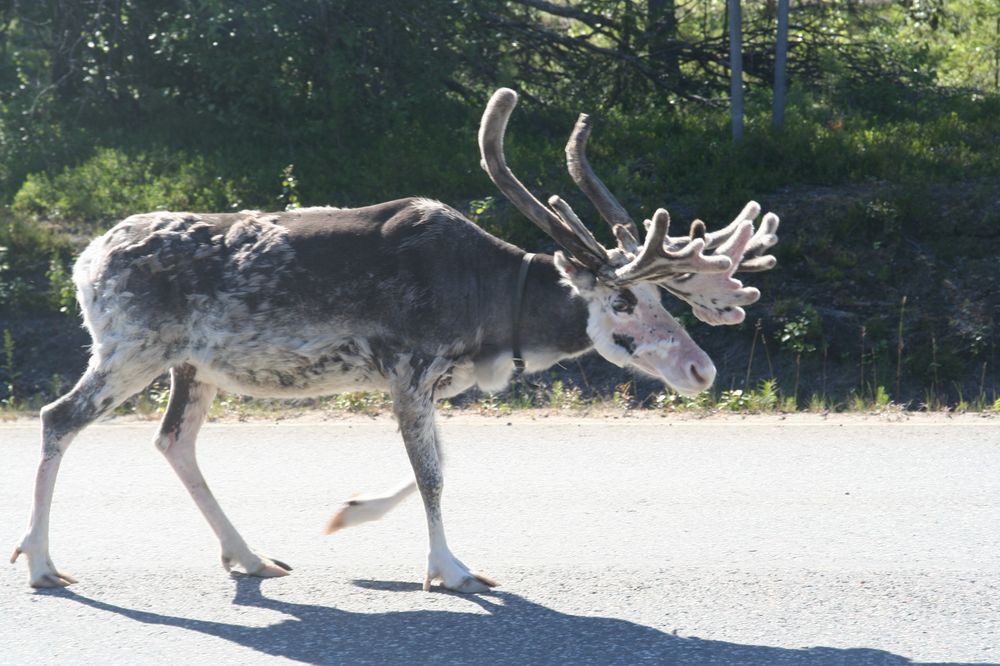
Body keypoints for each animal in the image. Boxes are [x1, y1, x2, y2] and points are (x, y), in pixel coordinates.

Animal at [11, 88, 778, 593]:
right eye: (622, 300)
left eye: (665, 298)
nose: (702, 369)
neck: (494, 315)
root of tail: (83, 261)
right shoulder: (408, 367)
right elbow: (433, 474)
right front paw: (452, 570)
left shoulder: (429, 383)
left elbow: (438, 463)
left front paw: (351, 511)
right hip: (130, 348)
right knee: (57, 418)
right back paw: (42, 561)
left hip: (190, 366)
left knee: (174, 441)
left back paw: (250, 557)